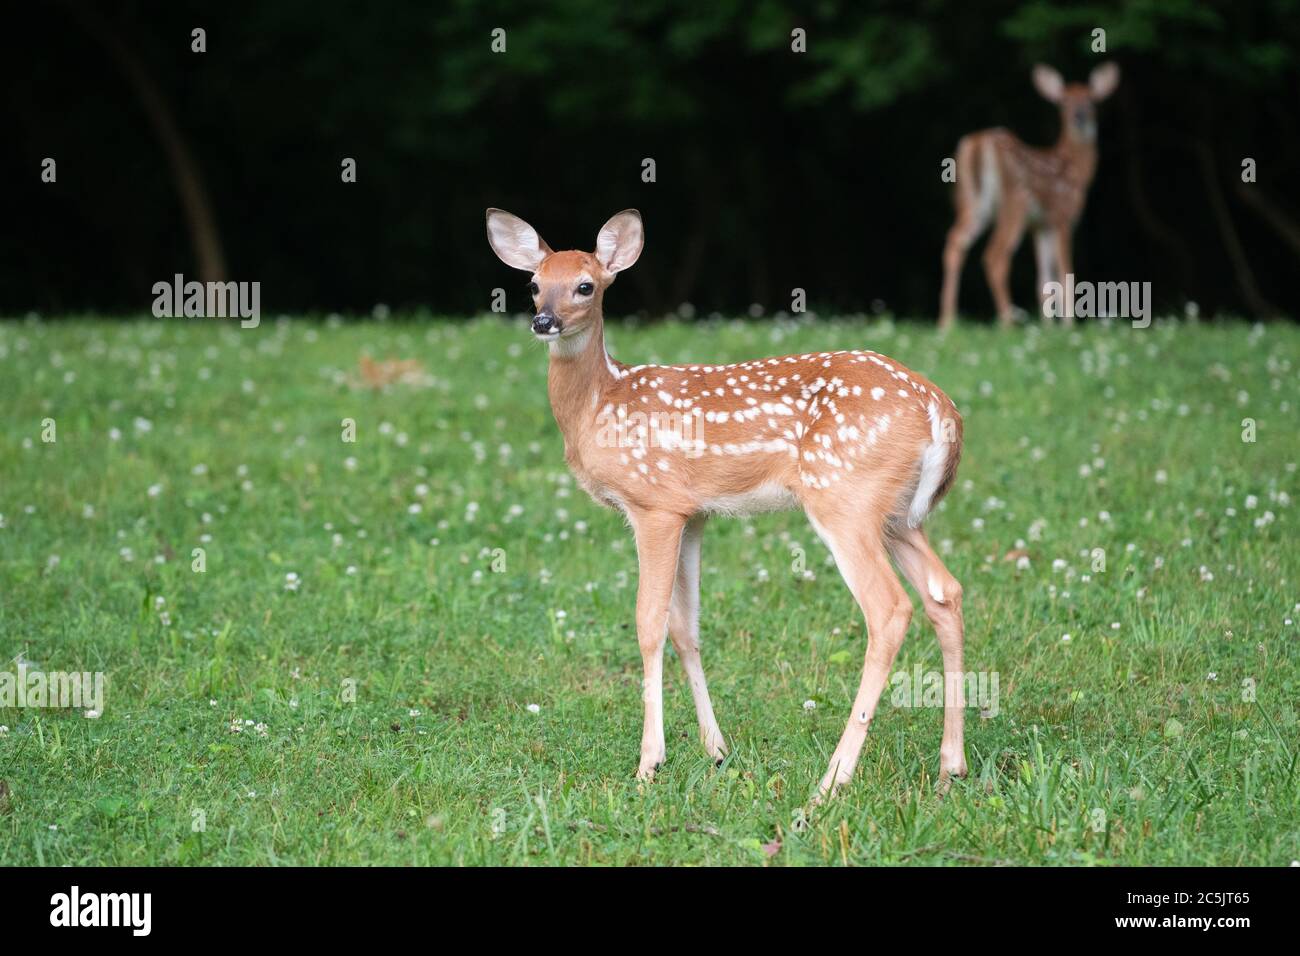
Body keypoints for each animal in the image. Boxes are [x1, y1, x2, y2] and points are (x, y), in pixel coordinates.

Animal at [488, 209, 967, 801]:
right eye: (534, 284)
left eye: (586, 285)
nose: (544, 321)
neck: (600, 404)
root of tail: (940, 408)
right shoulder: (694, 514)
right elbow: (685, 627)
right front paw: (715, 749)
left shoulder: (654, 504)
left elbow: (647, 622)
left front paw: (649, 763)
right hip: (897, 513)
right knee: (944, 592)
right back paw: (950, 767)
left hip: (845, 496)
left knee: (890, 607)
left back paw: (832, 780)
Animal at [941, 61, 1123, 329]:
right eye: (1064, 102)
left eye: (1091, 100)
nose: (1079, 116)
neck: (1074, 170)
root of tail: (977, 143)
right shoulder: (1061, 216)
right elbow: (1066, 275)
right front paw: (1068, 325)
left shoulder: (1040, 225)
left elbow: (1045, 282)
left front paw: (1049, 328)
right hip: (1014, 202)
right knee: (995, 256)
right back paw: (1007, 323)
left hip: (974, 203)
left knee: (955, 242)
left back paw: (946, 323)